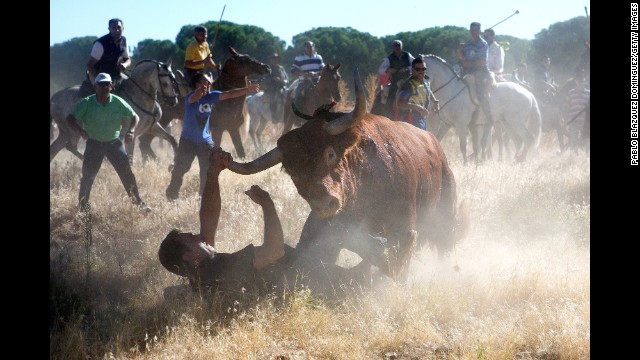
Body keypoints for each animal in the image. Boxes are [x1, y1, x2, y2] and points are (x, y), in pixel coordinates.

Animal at [49, 59, 180, 164]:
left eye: (173, 81)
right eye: (165, 84)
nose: (173, 101)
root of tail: (54, 98)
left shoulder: (152, 127)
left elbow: (172, 140)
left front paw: (174, 164)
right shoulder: (131, 133)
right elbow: (130, 157)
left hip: (64, 133)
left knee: (55, 149)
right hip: (74, 131)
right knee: (70, 147)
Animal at [228, 67, 468, 278]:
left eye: (330, 153)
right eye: (291, 171)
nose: (325, 203)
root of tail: (436, 145)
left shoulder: (404, 228)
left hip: (446, 215)